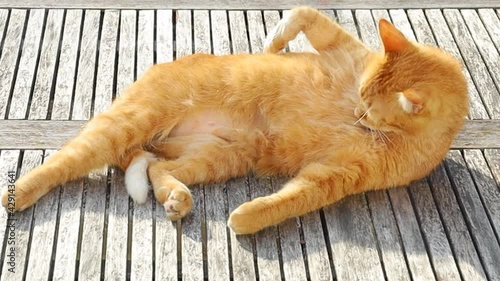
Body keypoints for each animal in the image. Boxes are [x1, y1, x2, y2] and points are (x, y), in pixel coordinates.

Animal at [1, 7, 466, 234]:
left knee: (156, 169)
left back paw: (177, 199)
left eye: (369, 106)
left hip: (220, 156)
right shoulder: (343, 49)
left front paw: (246, 219)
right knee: (64, 160)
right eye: (363, 93)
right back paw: (18, 193)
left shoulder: (339, 174)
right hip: (130, 122)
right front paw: (272, 44)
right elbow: (303, 13)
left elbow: (293, 198)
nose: (357, 112)